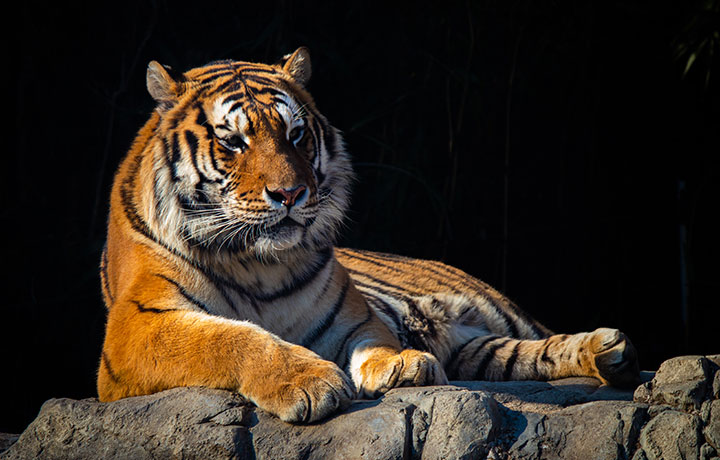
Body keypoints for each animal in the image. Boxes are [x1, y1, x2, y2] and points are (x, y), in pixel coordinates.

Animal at [97, 47, 640, 424]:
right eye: (233, 141)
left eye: (295, 135)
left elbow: (373, 341)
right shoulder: (139, 327)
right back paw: (610, 356)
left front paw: (401, 363)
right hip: (475, 348)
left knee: (537, 343)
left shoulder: (349, 316)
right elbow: (230, 338)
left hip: (500, 315)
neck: (258, 263)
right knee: (512, 357)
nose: (290, 194)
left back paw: (611, 352)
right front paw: (309, 380)